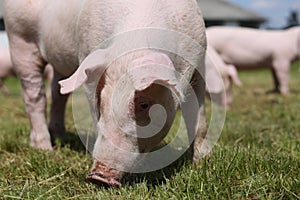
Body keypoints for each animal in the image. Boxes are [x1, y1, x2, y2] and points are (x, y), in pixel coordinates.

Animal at [3, 0, 209, 187]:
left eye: (144, 104)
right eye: (101, 102)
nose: (99, 176)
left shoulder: (199, 63)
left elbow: (199, 121)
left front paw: (202, 164)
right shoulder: (87, 56)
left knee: (58, 91)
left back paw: (60, 134)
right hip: (19, 38)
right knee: (34, 95)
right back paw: (45, 148)